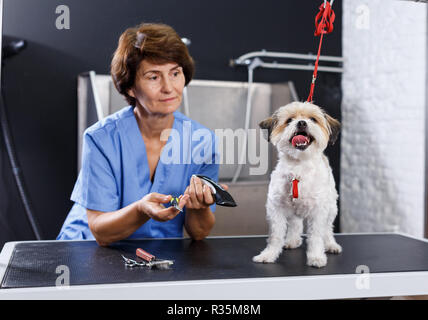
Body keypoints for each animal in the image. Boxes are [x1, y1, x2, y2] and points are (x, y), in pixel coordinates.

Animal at [254, 102, 342, 268]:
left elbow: (316, 236)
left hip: (331, 207)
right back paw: (292, 240)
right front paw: (269, 254)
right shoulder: (276, 208)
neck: (298, 167)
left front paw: (316, 257)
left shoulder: (318, 211)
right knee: (295, 223)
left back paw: (330, 244)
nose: (301, 123)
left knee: (327, 229)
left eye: (313, 119)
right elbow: (275, 236)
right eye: (289, 120)